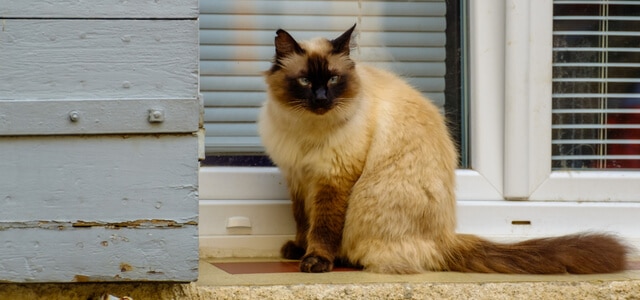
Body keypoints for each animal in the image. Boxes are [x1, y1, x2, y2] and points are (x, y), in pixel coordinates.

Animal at [258, 24, 628, 274]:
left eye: (333, 80)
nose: (321, 100)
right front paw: (297, 249)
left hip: (364, 199)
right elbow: (302, 220)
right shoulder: (298, 177)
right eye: (306, 81)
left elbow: (322, 227)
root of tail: (445, 238)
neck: (306, 129)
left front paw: (315, 260)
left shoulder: (332, 180)